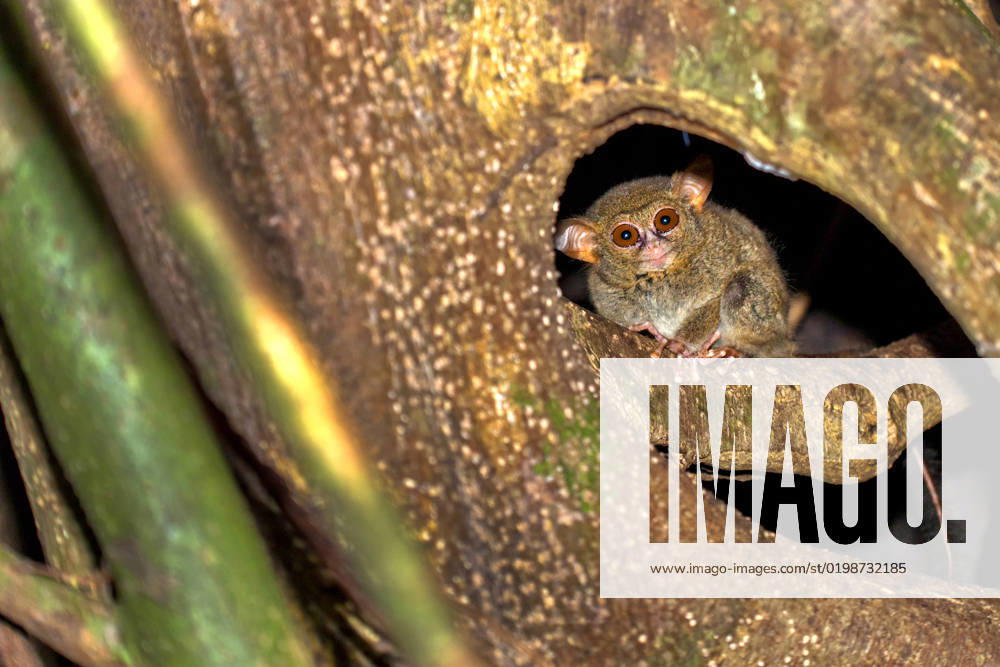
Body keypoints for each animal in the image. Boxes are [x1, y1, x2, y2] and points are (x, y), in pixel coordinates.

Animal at [554, 155, 794, 358]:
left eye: (665, 220)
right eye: (625, 236)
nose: (654, 246)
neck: (659, 277)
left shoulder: (718, 255)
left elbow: (716, 299)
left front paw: (679, 344)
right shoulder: (608, 299)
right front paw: (654, 333)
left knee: (740, 286)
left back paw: (731, 351)